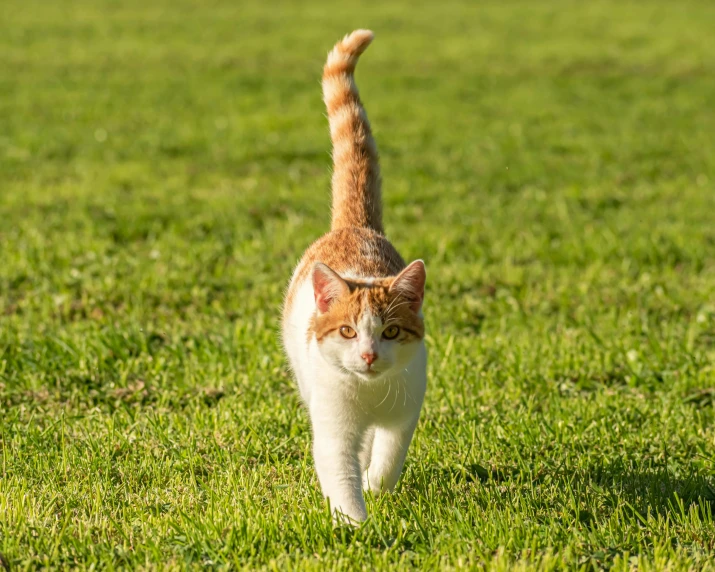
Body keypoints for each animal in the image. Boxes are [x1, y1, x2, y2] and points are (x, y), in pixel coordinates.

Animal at [280, 30, 426, 524]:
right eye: (347, 331)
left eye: (391, 331)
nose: (367, 355)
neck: (369, 394)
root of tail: (354, 226)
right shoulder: (333, 426)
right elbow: (340, 469)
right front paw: (356, 525)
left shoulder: (405, 410)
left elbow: (387, 458)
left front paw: (376, 490)